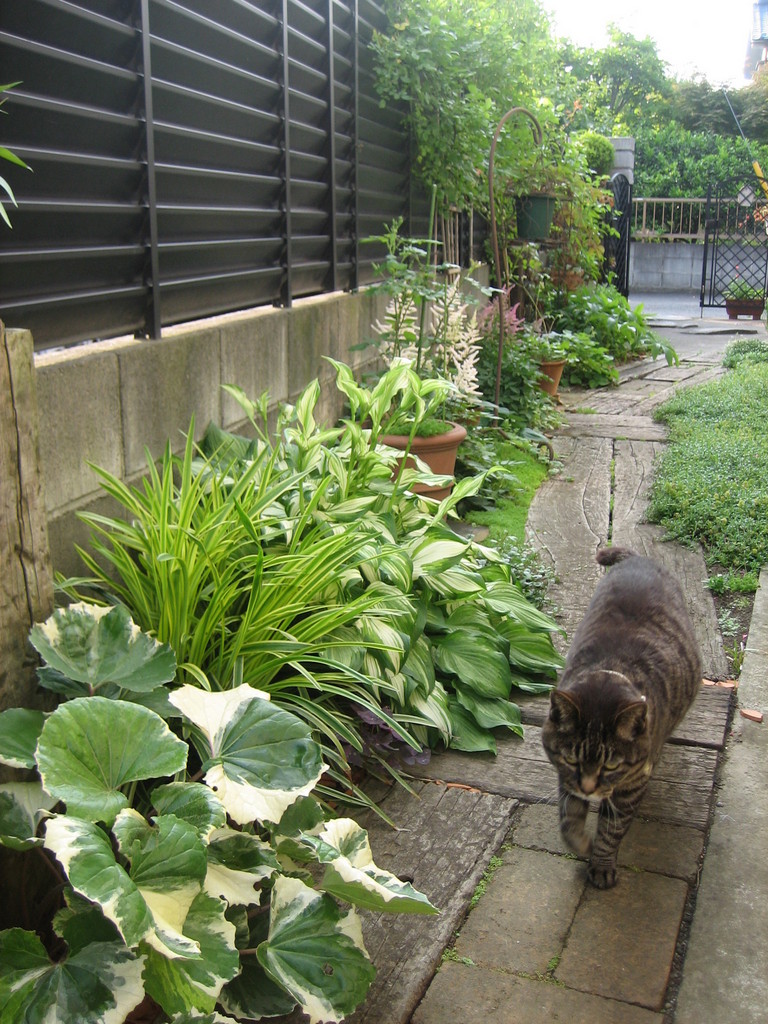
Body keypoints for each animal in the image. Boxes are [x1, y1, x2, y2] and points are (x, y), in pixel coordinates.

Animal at [541, 546, 702, 889]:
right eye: (572, 759)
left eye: (612, 765)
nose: (589, 788)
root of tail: (637, 557)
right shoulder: (565, 774)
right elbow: (569, 816)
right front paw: (580, 843)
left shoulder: (632, 785)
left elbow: (611, 830)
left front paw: (601, 864)